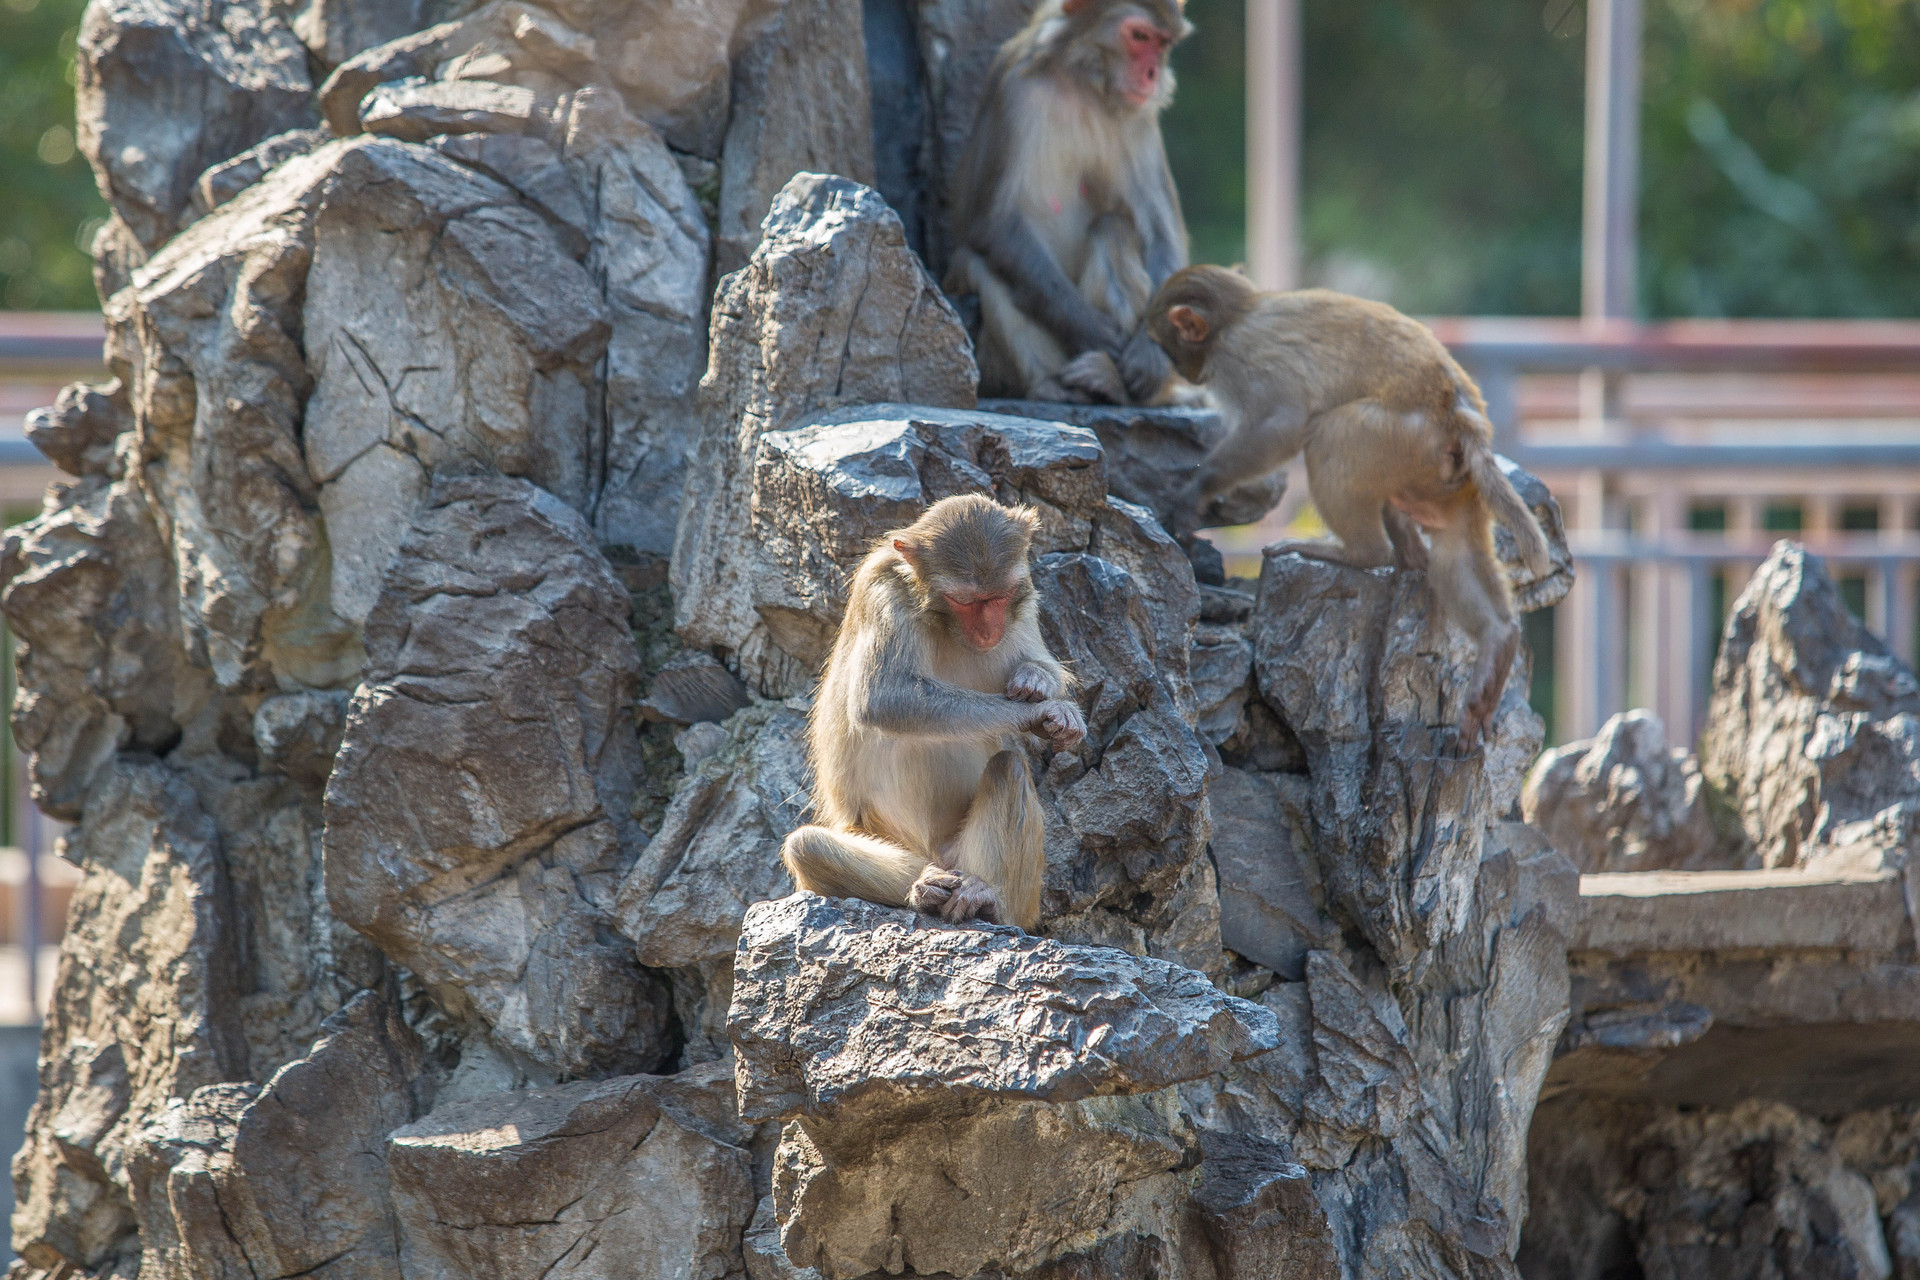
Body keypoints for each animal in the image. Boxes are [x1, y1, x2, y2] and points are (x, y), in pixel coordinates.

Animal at [775, 495, 1082, 932]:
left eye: (1000, 596)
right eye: (965, 602)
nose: (989, 632)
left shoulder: (1024, 603)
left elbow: (1040, 662)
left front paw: (1038, 681)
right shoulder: (882, 589)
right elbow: (883, 698)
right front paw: (1040, 713)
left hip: (1000, 885)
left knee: (1008, 769)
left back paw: (987, 900)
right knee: (808, 847)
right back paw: (928, 889)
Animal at [940, 0, 1190, 404]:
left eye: (1163, 43)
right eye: (1139, 36)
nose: (1152, 73)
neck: (1082, 82)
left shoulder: (1140, 119)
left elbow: (1161, 236)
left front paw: (1149, 355)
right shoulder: (1016, 92)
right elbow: (997, 223)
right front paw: (1091, 329)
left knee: (1112, 228)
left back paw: (1111, 384)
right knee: (978, 261)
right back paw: (1052, 385)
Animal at [1144, 262, 1551, 740]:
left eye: (1165, 346)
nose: (1186, 375)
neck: (1240, 309)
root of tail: (1457, 410)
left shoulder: (1240, 358)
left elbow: (1280, 425)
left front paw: (1195, 492)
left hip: (1394, 437)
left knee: (1328, 437)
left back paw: (1358, 552)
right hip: (1448, 477)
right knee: (1454, 548)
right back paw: (1495, 638)